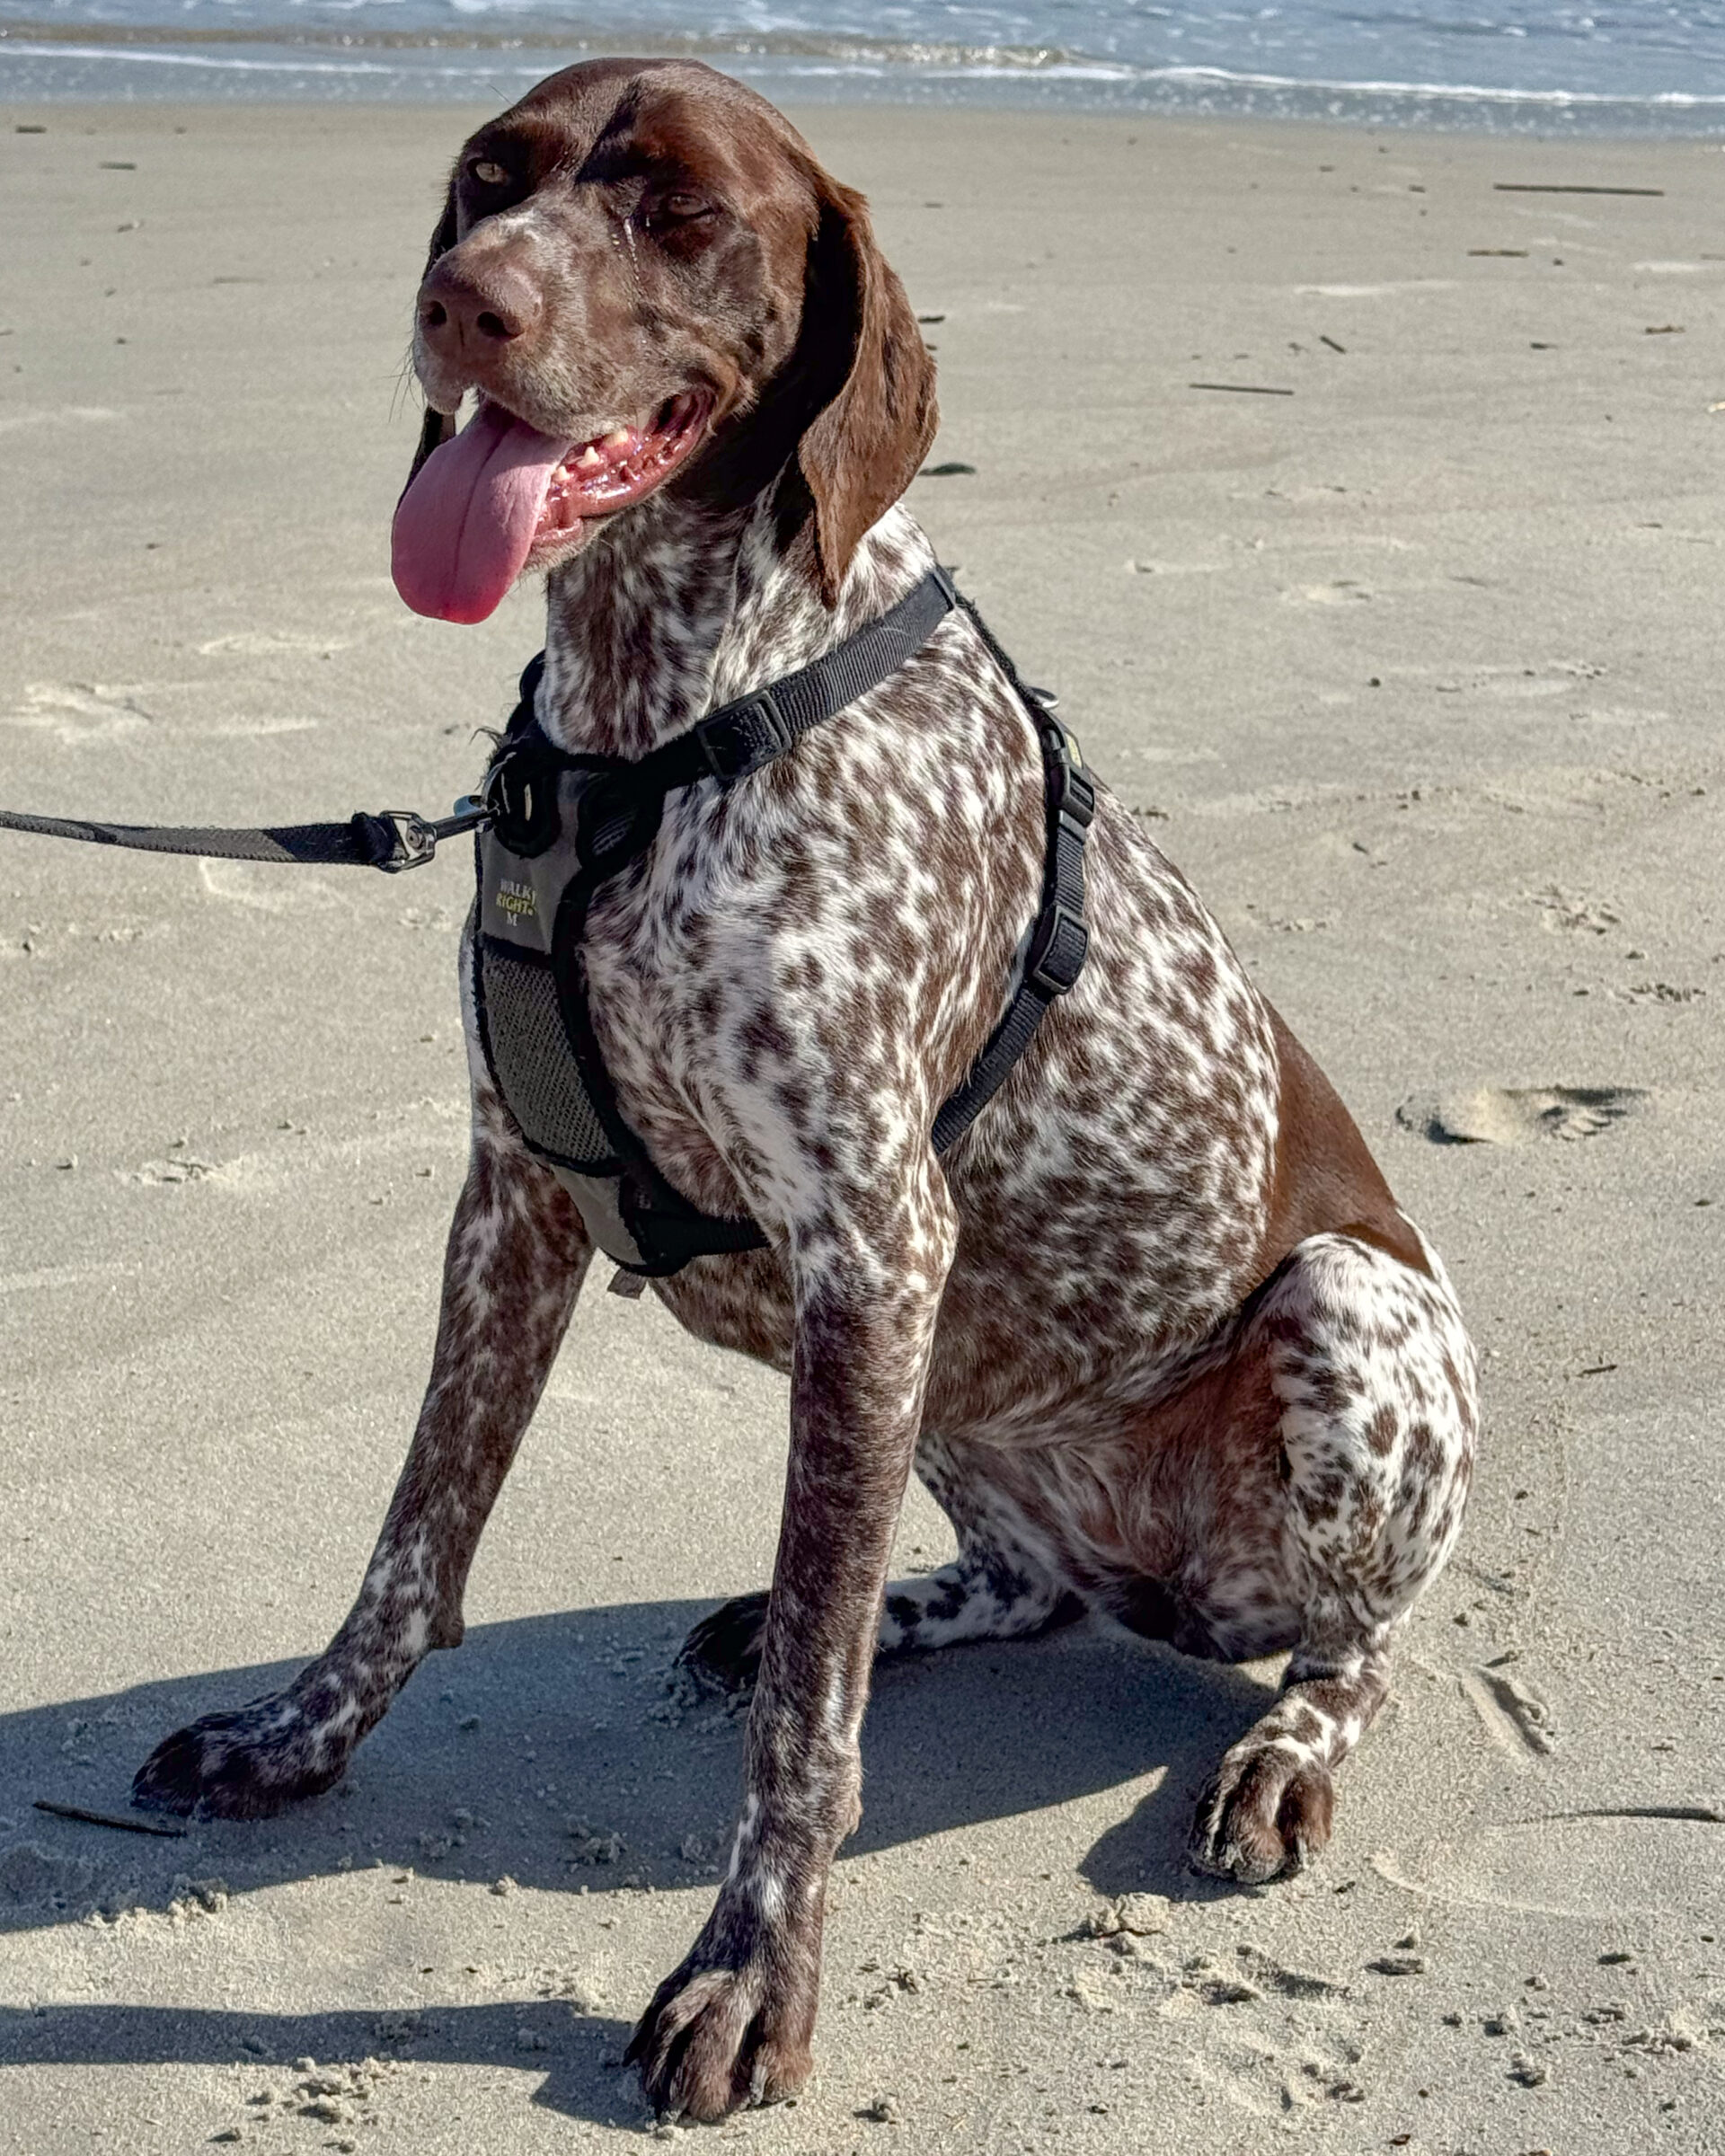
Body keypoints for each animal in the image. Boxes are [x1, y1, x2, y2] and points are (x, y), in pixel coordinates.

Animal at [137, 63, 1483, 2121]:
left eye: (685, 215)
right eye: (488, 179)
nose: (463, 304)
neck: (657, 724)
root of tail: (1183, 1593)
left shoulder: (870, 1240)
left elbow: (806, 1733)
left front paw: (752, 1974)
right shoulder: (511, 1197)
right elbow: (412, 1542)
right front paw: (295, 1738)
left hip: (1344, 1311)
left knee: (1363, 1648)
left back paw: (1278, 1752)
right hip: (955, 1399)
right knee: (1011, 1586)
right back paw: (835, 1605)